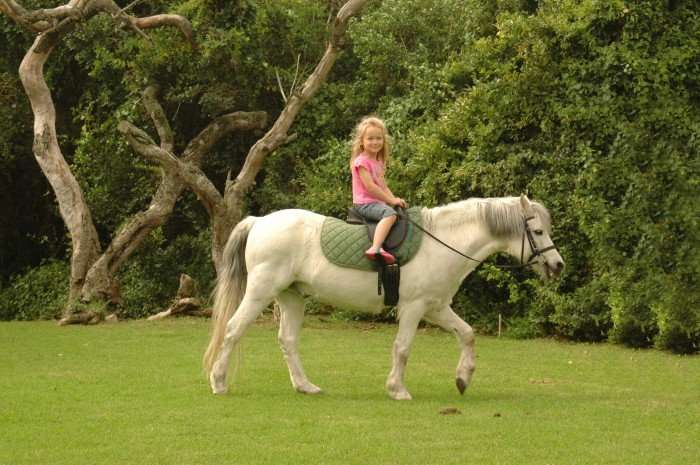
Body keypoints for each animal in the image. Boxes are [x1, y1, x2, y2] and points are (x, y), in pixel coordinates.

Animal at [202, 195, 564, 398]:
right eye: (538, 231)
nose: (558, 265)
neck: (443, 242)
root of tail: (259, 221)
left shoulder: (437, 307)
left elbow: (468, 334)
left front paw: (462, 379)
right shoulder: (414, 308)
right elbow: (403, 348)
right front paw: (397, 390)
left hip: (292, 298)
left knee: (287, 341)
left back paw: (306, 386)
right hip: (260, 292)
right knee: (233, 330)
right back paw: (218, 383)